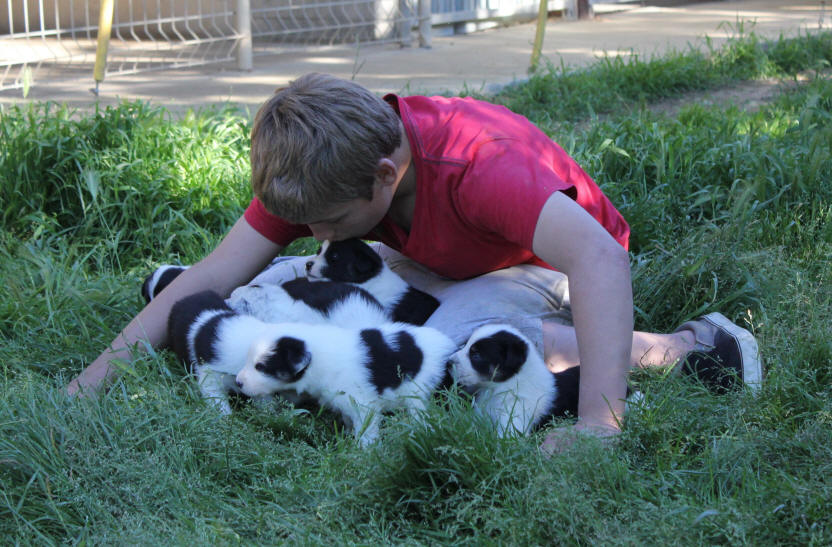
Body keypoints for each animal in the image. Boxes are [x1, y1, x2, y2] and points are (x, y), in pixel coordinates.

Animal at [234, 324, 456, 448]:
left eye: (260, 366)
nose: (238, 382)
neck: (319, 357)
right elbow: (349, 419)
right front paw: (349, 434)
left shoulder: (363, 404)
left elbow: (366, 430)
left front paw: (365, 450)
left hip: (420, 397)